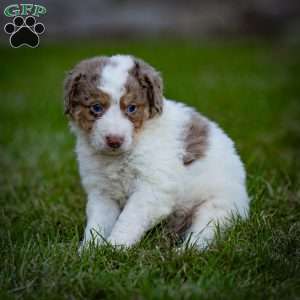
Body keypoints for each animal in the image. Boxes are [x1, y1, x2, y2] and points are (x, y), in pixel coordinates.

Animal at [64, 54, 250, 251]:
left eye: (132, 108)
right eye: (96, 107)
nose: (114, 140)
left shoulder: (153, 188)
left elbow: (129, 218)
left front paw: (115, 247)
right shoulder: (101, 191)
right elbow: (97, 223)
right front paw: (89, 250)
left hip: (218, 208)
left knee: (202, 236)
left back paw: (182, 252)